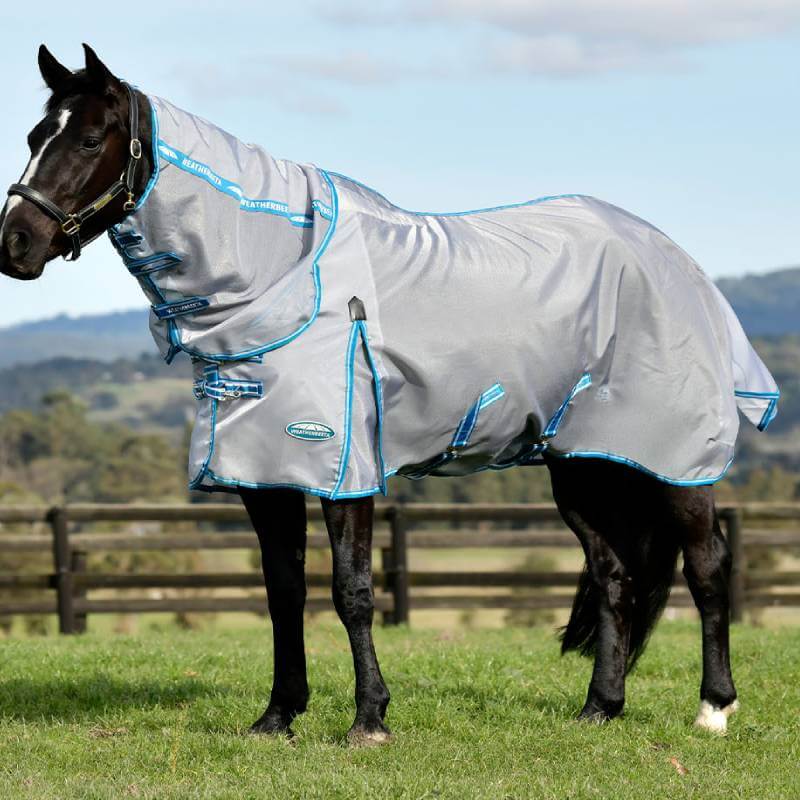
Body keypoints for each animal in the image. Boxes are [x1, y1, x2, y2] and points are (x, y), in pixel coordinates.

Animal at [0, 44, 778, 742]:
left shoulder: (346, 469)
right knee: (616, 575)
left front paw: (369, 720)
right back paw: (599, 709)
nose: (15, 245)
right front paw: (277, 717)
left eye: (89, 138)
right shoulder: (265, 472)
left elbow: (352, 590)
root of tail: (674, 257)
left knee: (708, 567)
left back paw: (713, 709)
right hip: (585, 467)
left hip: (676, 464)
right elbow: (283, 592)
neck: (282, 273)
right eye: (36, 137)